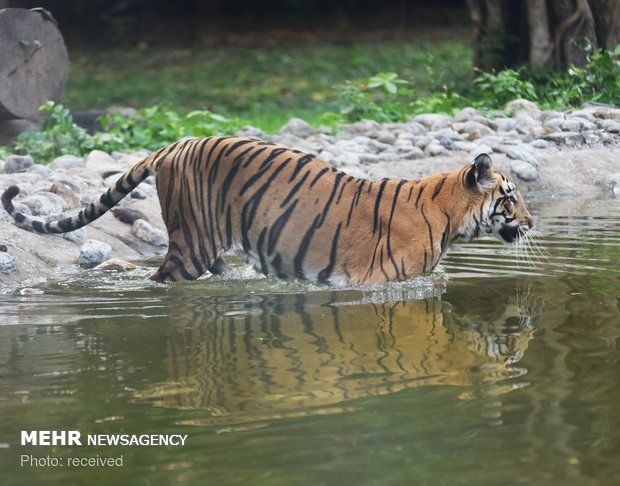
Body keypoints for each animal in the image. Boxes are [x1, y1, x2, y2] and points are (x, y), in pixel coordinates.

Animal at [1, 135, 532, 284]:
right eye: (510, 195)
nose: (531, 222)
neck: (450, 218)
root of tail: (176, 143)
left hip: (210, 244)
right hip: (190, 246)